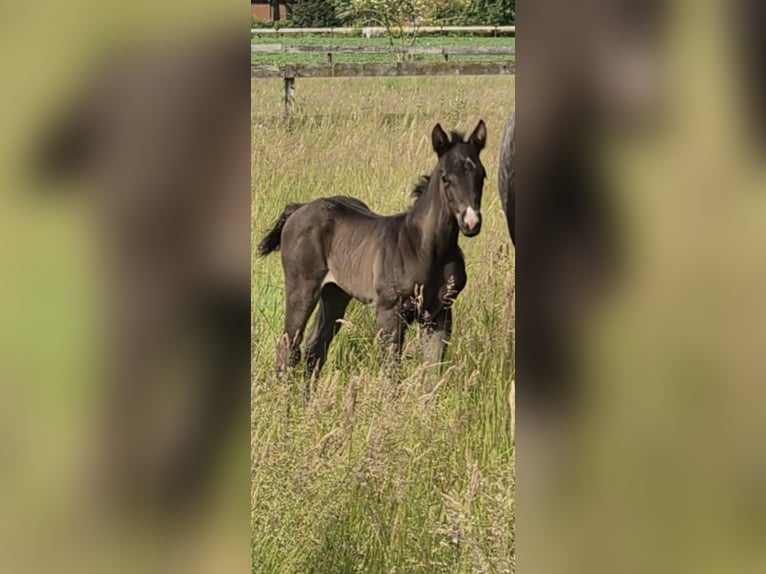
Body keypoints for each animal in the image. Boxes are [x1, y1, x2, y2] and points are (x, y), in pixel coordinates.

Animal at [257, 120, 487, 380]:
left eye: (482, 176)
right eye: (446, 178)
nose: (471, 222)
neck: (427, 249)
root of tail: (299, 208)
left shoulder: (440, 313)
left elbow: (431, 373)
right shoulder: (389, 312)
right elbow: (391, 372)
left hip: (335, 293)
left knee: (314, 349)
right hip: (302, 290)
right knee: (288, 346)